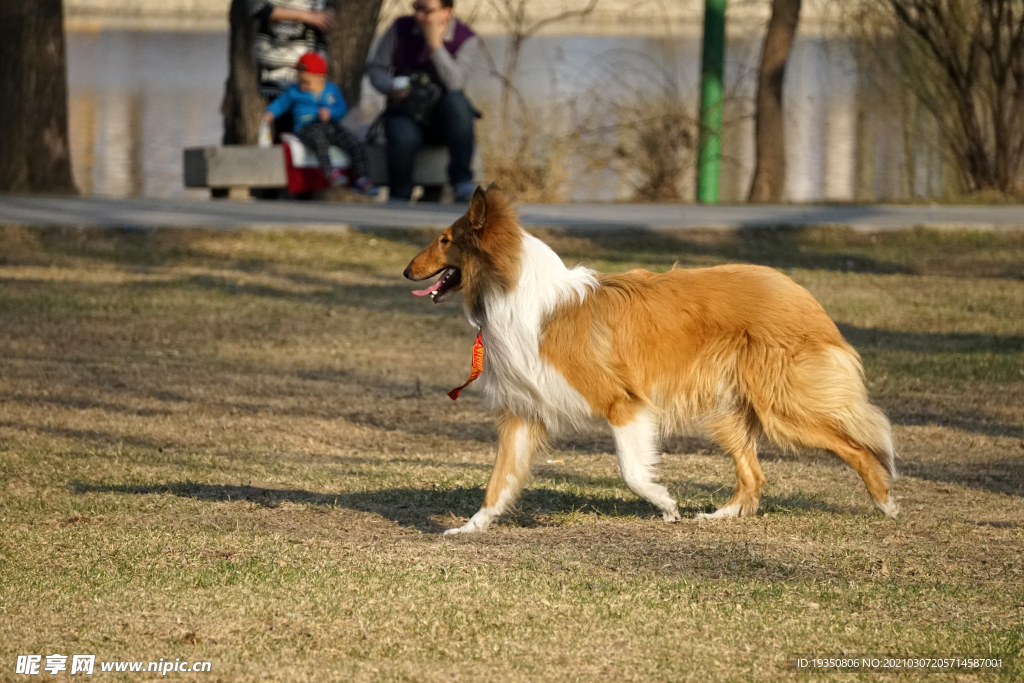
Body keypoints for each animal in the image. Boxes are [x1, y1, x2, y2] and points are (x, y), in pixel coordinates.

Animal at [403, 185, 901, 532]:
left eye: (445, 240)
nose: (407, 271)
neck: (514, 293)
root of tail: (798, 292)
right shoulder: (525, 412)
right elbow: (498, 482)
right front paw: (468, 528)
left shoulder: (624, 404)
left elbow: (632, 472)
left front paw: (666, 505)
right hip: (728, 409)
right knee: (755, 476)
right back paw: (720, 516)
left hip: (783, 405)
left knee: (858, 445)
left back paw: (885, 501)